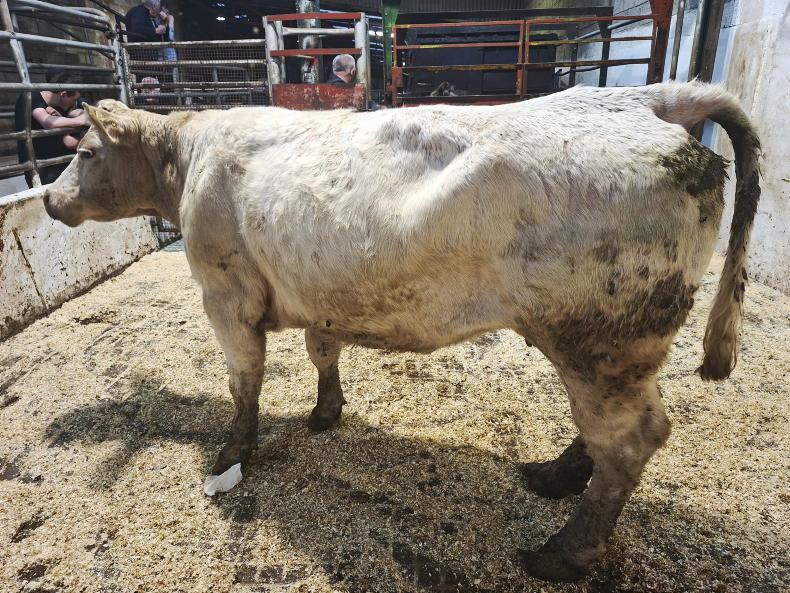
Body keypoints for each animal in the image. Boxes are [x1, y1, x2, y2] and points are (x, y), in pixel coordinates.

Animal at [42, 81, 761, 582]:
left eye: (85, 151)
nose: (47, 199)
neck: (188, 157)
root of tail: (649, 96)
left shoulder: (227, 295)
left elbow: (244, 381)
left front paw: (229, 457)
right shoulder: (318, 293)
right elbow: (321, 349)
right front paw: (325, 412)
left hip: (600, 339)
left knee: (630, 439)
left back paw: (561, 553)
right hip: (614, 347)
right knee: (608, 436)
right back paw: (553, 477)